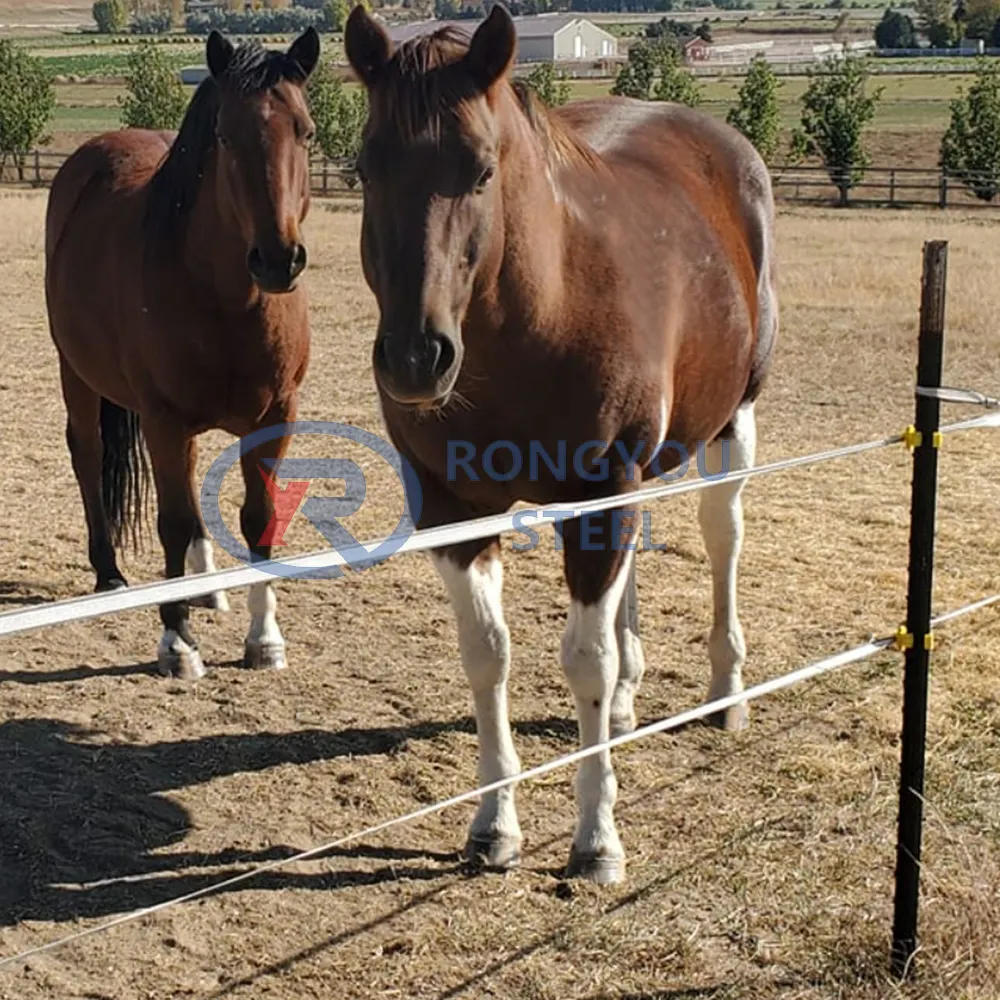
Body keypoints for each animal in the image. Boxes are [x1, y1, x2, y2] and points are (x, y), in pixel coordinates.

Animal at [46, 31, 320, 684]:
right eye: (225, 135)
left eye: (306, 131)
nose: (278, 259)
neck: (228, 299)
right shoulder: (163, 419)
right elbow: (170, 521)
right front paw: (177, 642)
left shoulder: (276, 418)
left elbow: (260, 517)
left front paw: (264, 638)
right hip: (78, 373)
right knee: (88, 454)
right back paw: (112, 575)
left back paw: (208, 587)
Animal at [348, 1, 776, 884]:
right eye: (365, 169)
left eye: (481, 169)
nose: (414, 357)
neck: (535, 315)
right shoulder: (455, 508)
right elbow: (487, 655)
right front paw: (492, 825)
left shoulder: (601, 493)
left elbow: (585, 660)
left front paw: (596, 839)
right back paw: (631, 700)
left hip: (730, 425)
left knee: (722, 536)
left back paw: (726, 690)